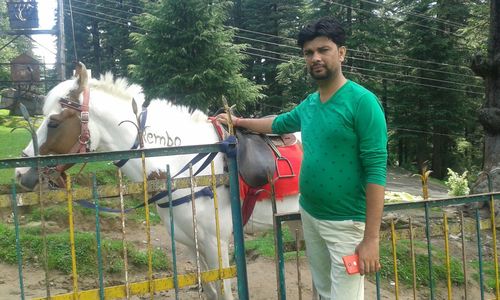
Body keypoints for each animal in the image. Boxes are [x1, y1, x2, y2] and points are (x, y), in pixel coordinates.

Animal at [14, 64, 300, 298]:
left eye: (53, 122)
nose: (20, 174)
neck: (186, 167)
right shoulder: (191, 244)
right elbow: (208, 289)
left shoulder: (216, 243)